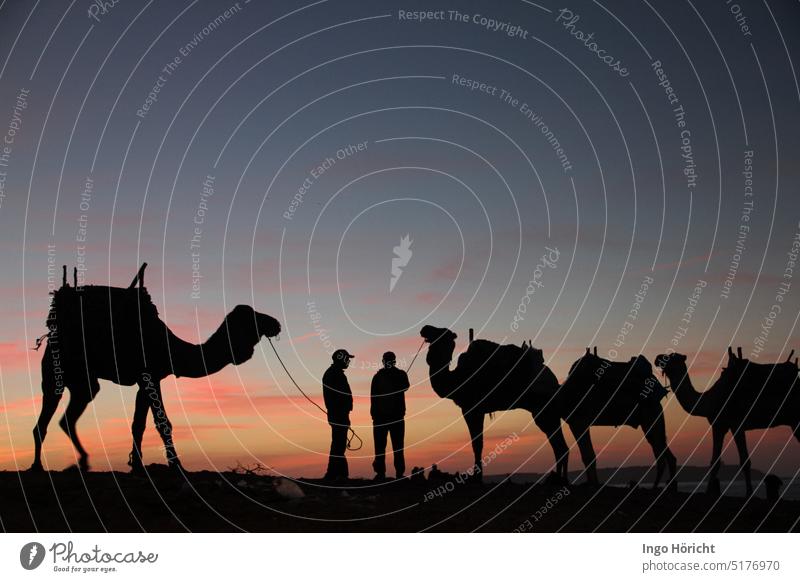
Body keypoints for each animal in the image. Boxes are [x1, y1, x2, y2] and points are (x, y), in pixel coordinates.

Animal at [30, 264, 282, 474]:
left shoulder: (147, 380)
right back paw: (37, 467)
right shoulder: (149, 375)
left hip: (83, 383)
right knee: (44, 420)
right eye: (252, 317)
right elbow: (163, 423)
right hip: (57, 372)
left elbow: (138, 424)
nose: (276, 323)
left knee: (68, 416)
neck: (170, 347)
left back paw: (82, 461)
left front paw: (137, 466)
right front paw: (177, 465)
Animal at [418, 328, 568, 484]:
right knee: (560, 446)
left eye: (440, 331)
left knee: (559, 446)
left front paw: (477, 478)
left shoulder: (471, 409)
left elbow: (477, 444)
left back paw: (560, 480)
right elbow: (478, 444)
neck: (458, 378)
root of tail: (556, 385)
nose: (424, 328)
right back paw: (560, 479)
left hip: (544, 410)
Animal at [560, 350, 680, 490]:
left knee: (660, 453)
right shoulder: (579, 424)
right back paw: (667, 486)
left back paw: (656, 487)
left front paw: (593, 485)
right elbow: (588, 455)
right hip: (652, 421)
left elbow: (588, 455)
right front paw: (592, 483)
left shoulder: (578, 422)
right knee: (665, 453)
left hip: (651, 417)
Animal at [656, 352, 800, 498]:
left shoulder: (736, 424)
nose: (657, 358)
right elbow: (715, 461)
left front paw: (749, 493)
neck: (710, 399)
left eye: (672, 357)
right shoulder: (718, 426)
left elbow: (745, 461)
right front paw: (708, 491)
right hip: (794, 422)